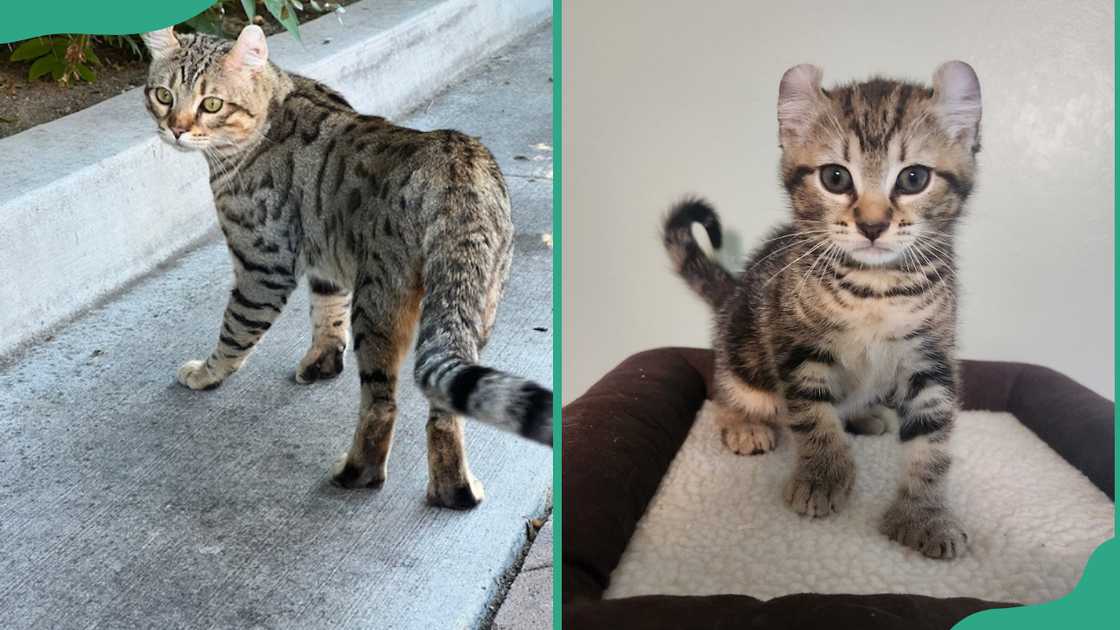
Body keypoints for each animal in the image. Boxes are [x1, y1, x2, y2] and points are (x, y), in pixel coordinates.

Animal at [142, 24, 553, 506]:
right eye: (164, 95)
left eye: (211, 104)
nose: (175, 129)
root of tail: (457, 171)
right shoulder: (325, 255)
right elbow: (326, 314)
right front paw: (321, 362)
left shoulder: (263, 265)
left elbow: (235, 331)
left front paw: (207, 374)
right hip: (475, 306)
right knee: (443, 409)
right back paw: (453, 491)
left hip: (378, 306)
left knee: (381, 403)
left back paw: (358, 472)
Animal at [663, 61, 981, 556]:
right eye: (835, 178)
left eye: (913, 179)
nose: (872, 225)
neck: (876, 287)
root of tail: (734, 294)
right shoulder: (798, 345)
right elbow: (812, 415)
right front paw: (822, 478)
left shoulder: (931, 355)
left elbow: (933, 438)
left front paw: (924, 515)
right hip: (743, 351)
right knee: (726, 389)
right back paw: (744, 422)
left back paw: (865, 415)